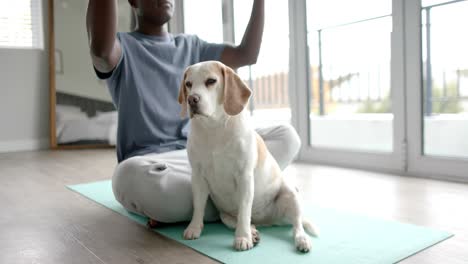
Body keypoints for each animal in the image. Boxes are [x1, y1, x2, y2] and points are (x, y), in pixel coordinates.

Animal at [177, 61, 316, 252]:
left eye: (211, 81)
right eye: (188, 84)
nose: (192, 99)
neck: (214, 128)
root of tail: (268, 221)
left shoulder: (244, 177)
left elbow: (244, 210)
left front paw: (242, 238)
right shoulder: (197, 177)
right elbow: (198, 207)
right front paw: (194, 227)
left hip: (290, 195)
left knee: (297, 226)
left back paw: (301, 239)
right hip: (224, 214)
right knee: (236, 221)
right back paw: (253, 231)